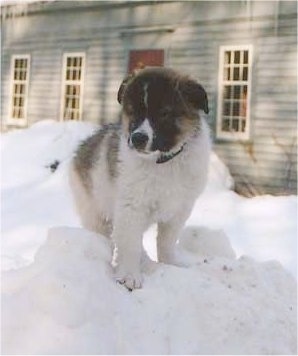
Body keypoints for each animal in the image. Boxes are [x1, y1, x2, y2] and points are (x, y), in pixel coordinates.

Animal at [68, 67, 211, 290]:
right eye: (133, 112)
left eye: (163, 113)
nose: (137, 138)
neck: (163, 163)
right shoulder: (131, 208)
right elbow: (130, 244)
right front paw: (129, 275)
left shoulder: (180, 209)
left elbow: (166, 242)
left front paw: (170, 264)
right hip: (95, 213)